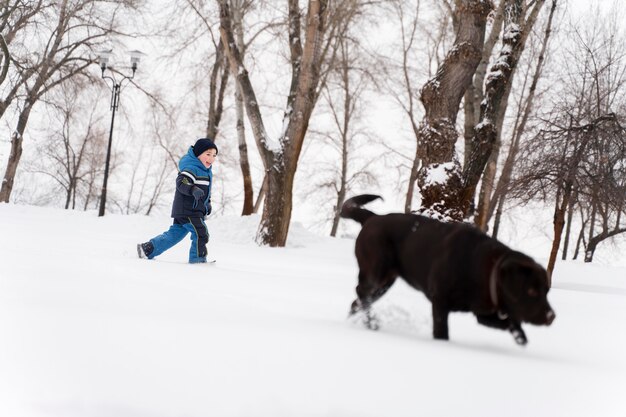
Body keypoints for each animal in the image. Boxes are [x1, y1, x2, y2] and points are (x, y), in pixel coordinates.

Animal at [342, 195, 556, 344]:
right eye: (531, 291)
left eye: (546, 291)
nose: (551, 316)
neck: (485, 269)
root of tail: (372, 218)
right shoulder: (440, 302)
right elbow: (442, 332)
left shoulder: (483, 312)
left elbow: (511, 322)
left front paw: (521, 338)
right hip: (376, 272)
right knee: (361, 293)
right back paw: (371, 323)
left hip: (385, 283)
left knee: (357, 301)